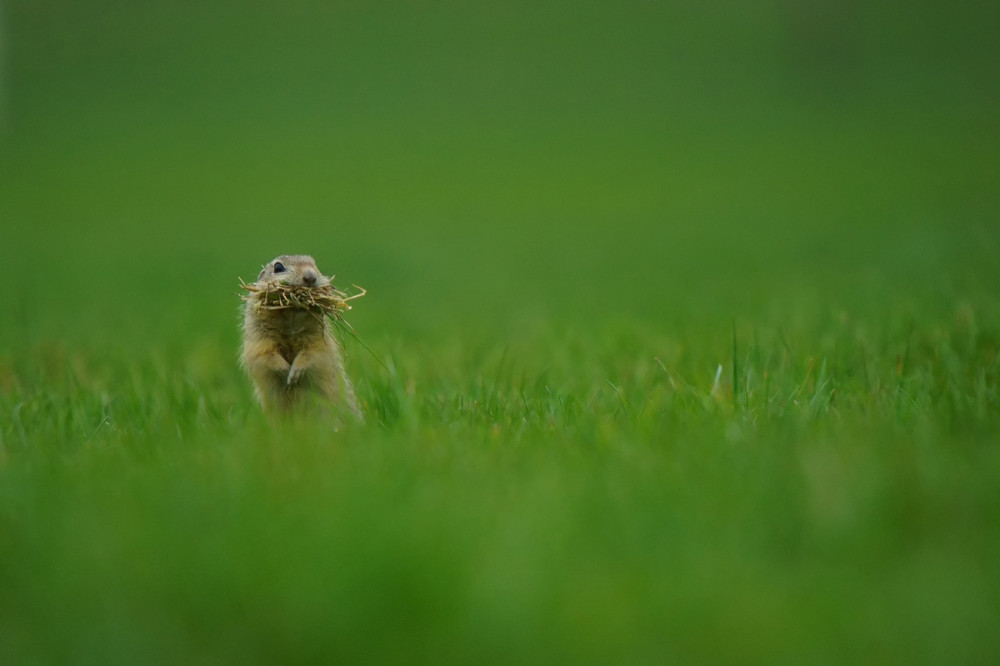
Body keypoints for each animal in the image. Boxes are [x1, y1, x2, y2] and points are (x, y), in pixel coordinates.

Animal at [240, 252, 362, 418]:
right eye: (278, 267)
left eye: (315, 265)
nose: (310, 276)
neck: (291, 316)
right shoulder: (258, 336)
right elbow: (265, 355)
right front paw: (285, 371)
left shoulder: (319, 340)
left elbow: (312, 354)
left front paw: (295, 372)